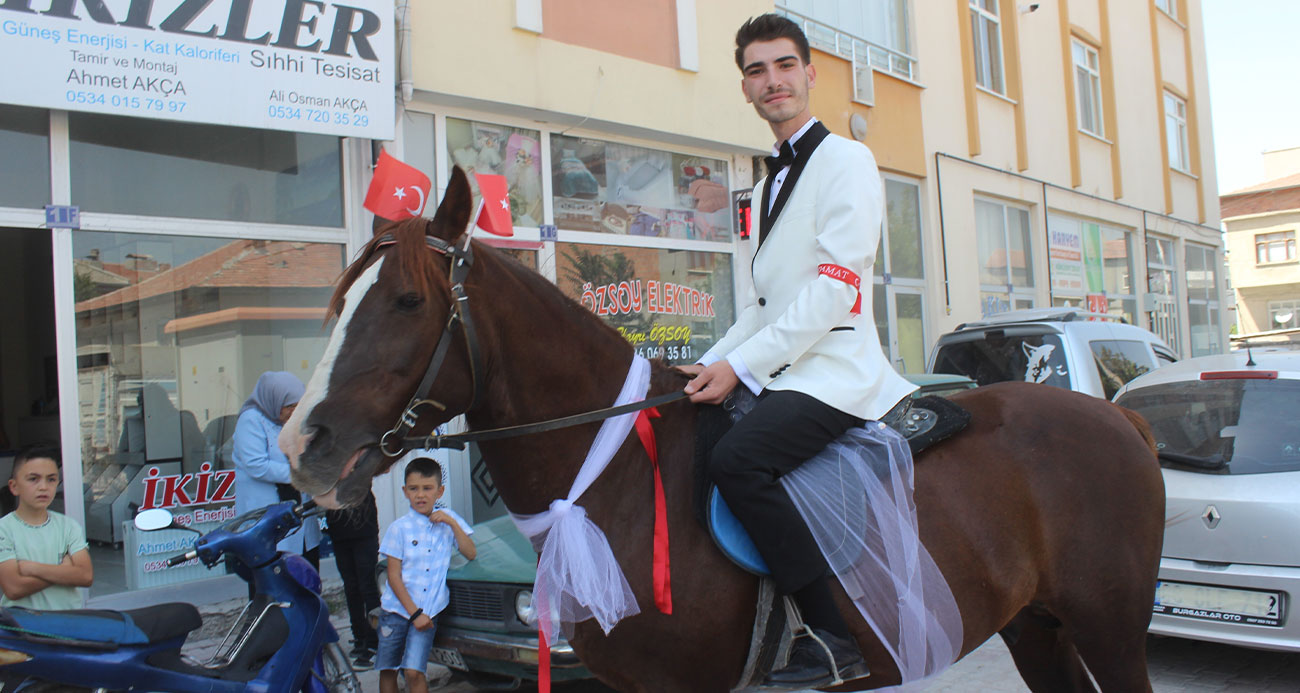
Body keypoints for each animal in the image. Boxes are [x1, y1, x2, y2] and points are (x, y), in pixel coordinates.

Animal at [282, 169, 1170, 691]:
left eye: (406, 300)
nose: (301, 445)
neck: (611, 478)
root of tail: (1120, 412)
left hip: (1110, 625)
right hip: (1036, 624)